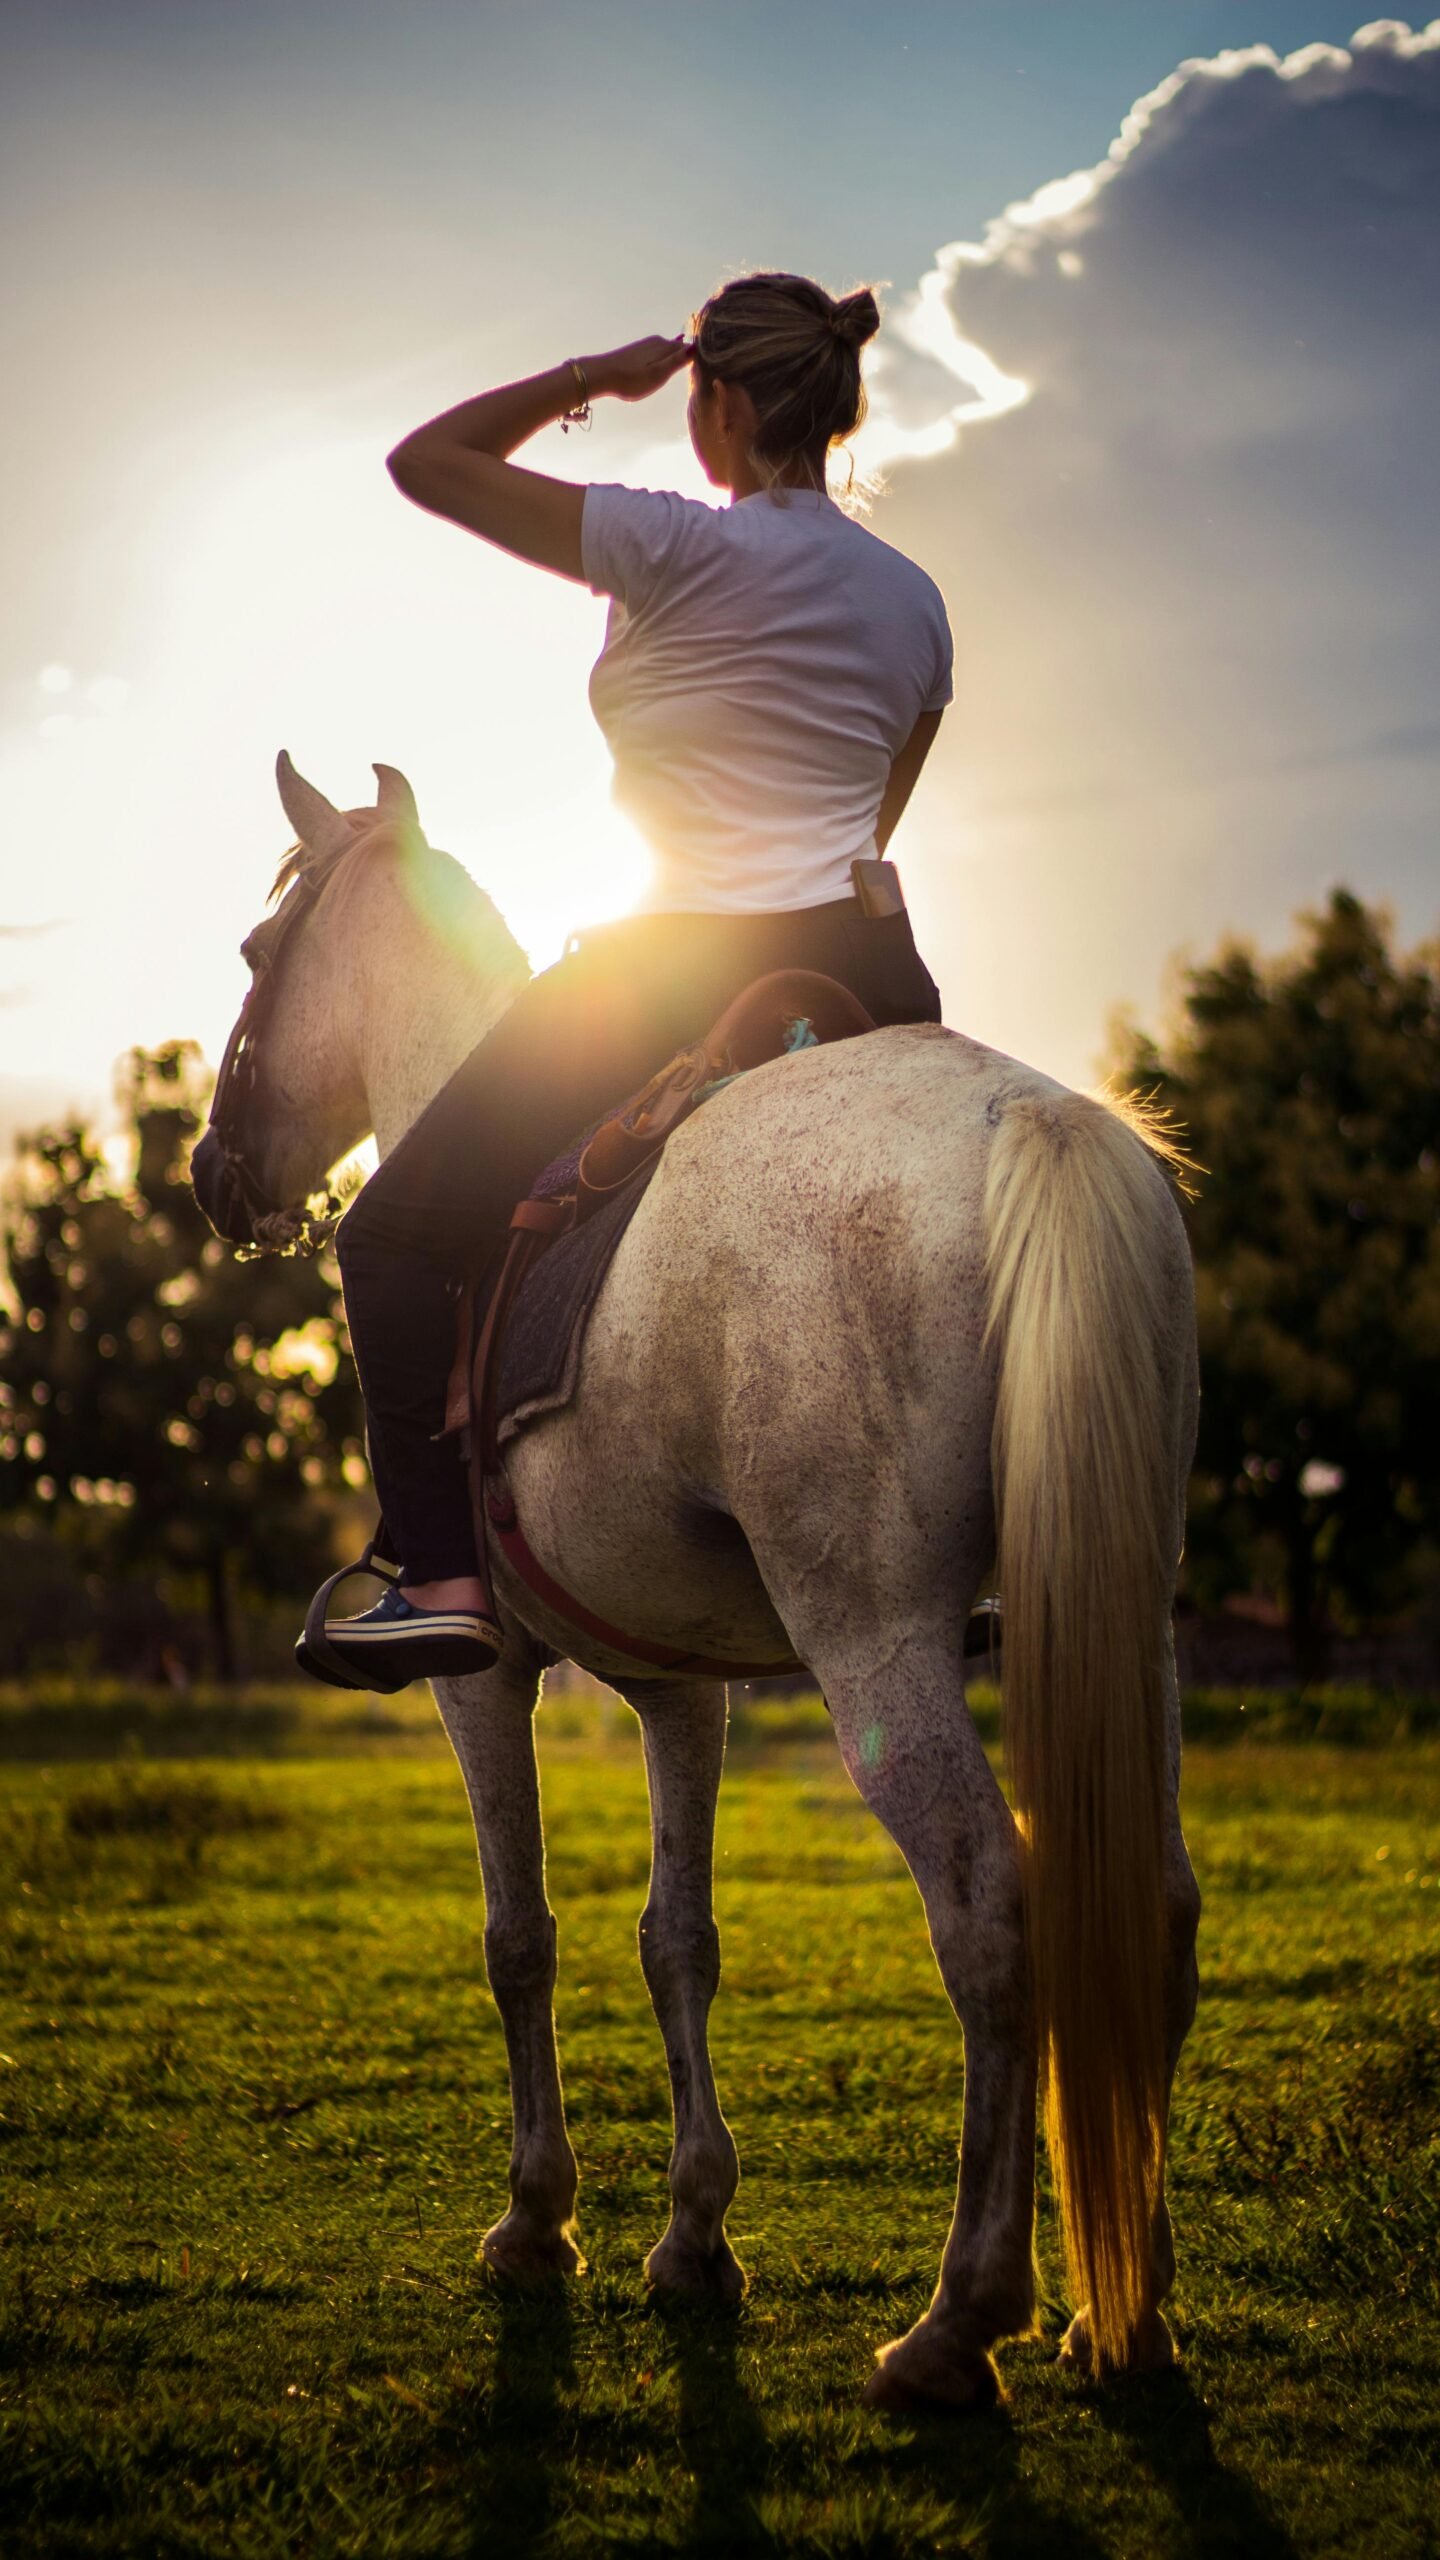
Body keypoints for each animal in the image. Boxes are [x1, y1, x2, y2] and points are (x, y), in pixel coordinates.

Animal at [191, 752, 1201, 2412]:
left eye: (261, 954)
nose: (216, 1173)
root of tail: (1027, 1118)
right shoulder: (681, 1689)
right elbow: (679, 1942)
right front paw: (692, 2238)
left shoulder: (482, 1680)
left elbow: (519, 1939)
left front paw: (537, 2219)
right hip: (1135, 1623)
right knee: (1162, 1911)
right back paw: (1128, 2318)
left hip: (877, 1646)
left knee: (990, 1908)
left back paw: (961, 2318)